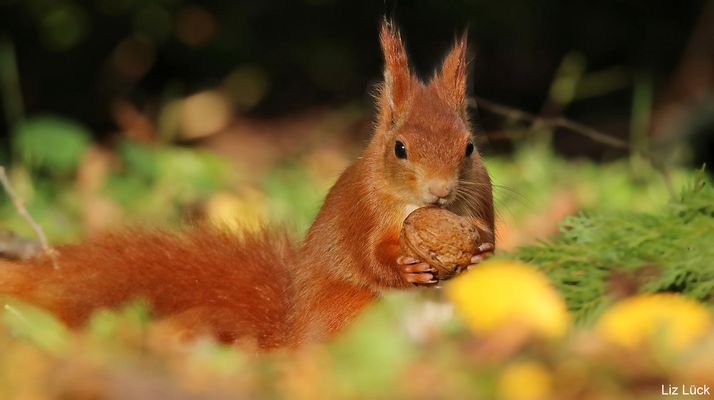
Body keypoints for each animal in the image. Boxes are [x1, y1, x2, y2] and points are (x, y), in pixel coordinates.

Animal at [0, 21, 494, 350]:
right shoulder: (364, 207)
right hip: (353, 319)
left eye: (469, 146)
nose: (439, 191)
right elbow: (368, 255)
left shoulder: (480, 195)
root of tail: (292, 336)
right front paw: (406, 267)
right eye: (399, 148)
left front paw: (481, 252)